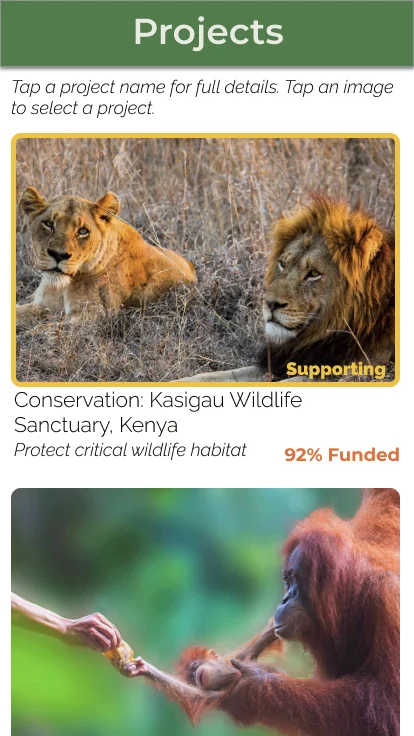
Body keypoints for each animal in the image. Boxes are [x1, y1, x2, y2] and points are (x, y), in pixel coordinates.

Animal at [17, 187, 196, 323]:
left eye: (83, 231)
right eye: (48, 224)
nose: (58, 255)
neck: (63, 286)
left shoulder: (92, 316)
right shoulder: (41, 306)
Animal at [179, 195, 395, 382]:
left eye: (313, 273)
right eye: (282, 264)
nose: (270, 304)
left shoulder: (355, 372)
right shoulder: (279, 361)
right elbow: (211, 375)